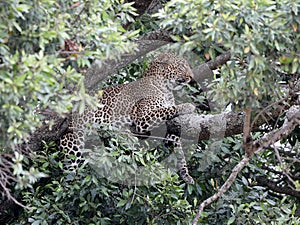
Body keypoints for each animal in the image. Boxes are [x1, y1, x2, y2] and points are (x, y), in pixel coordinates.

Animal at [59, 52, 196, 185]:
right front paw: (188, 106)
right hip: (72, 143)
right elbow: (169, 109)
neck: (166, 88)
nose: (191, 76)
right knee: (67, 173)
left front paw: (185, 174)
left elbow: (179, 147)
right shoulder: (143, 119)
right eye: (181, 66)